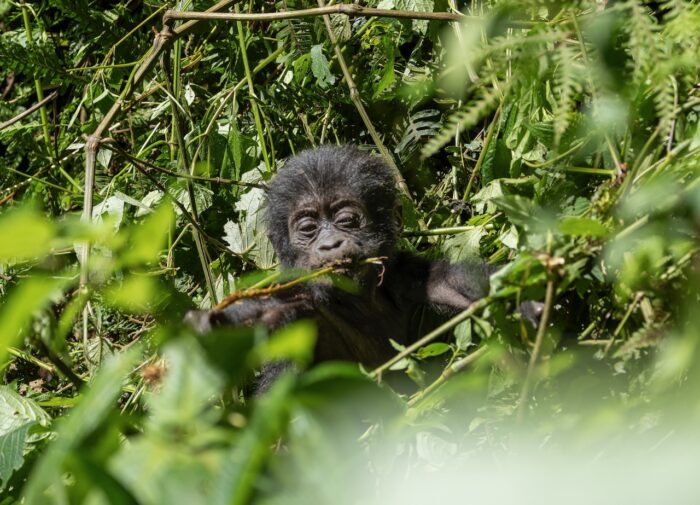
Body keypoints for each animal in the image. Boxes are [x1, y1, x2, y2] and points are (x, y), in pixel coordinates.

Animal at [185, 145, 541, 391]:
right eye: (308, 229)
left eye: (347, 220)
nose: (329, 245)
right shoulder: (298, 300)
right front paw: (211, 325)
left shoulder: (412, 278)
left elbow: (466, 288)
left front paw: (530, 296)